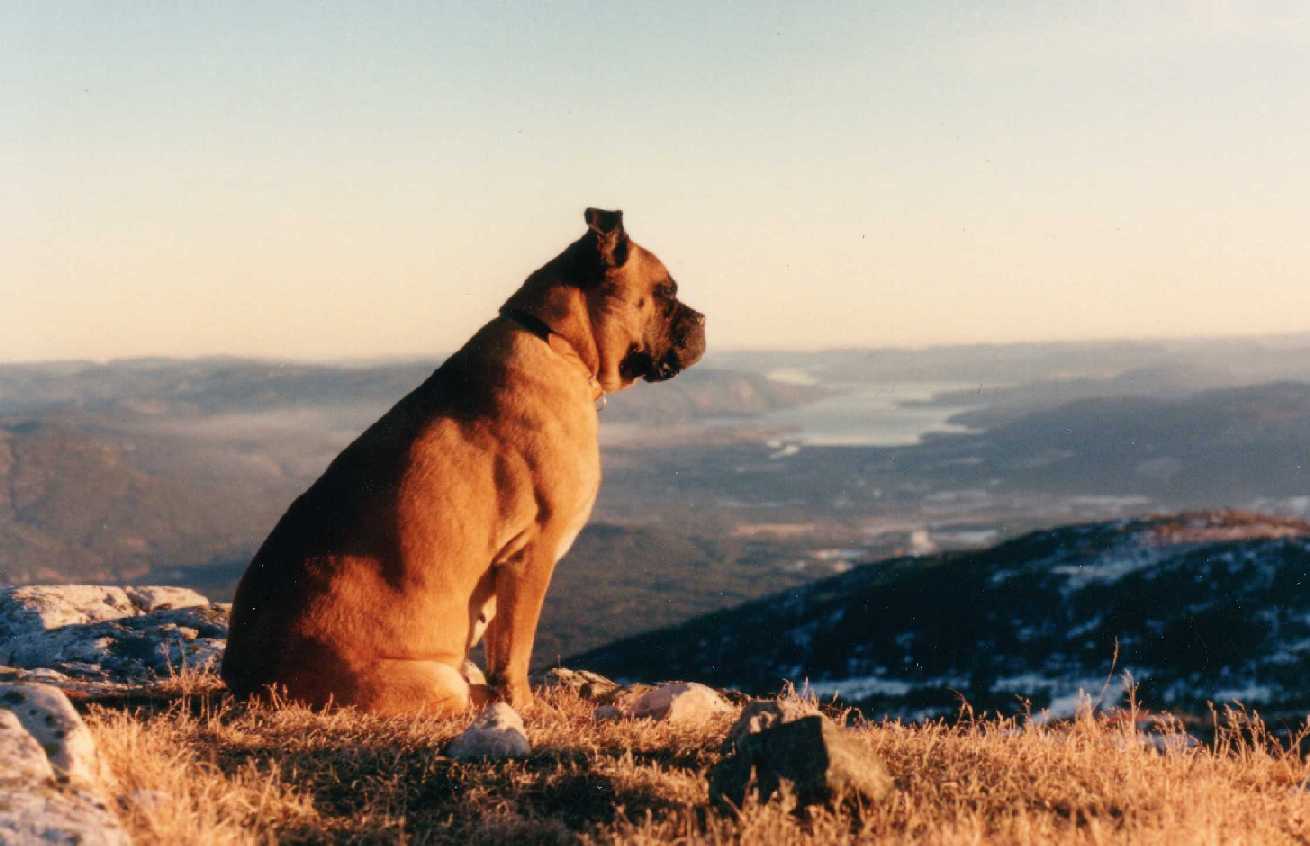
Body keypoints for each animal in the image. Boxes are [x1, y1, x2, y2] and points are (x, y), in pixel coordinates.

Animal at [220, 208, 707, 712]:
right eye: (666, 292)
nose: (702, 318)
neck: (560, 342)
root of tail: (247, 679)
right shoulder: (531, 556)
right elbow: (515, 649)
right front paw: (523, 705)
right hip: (432, 682)